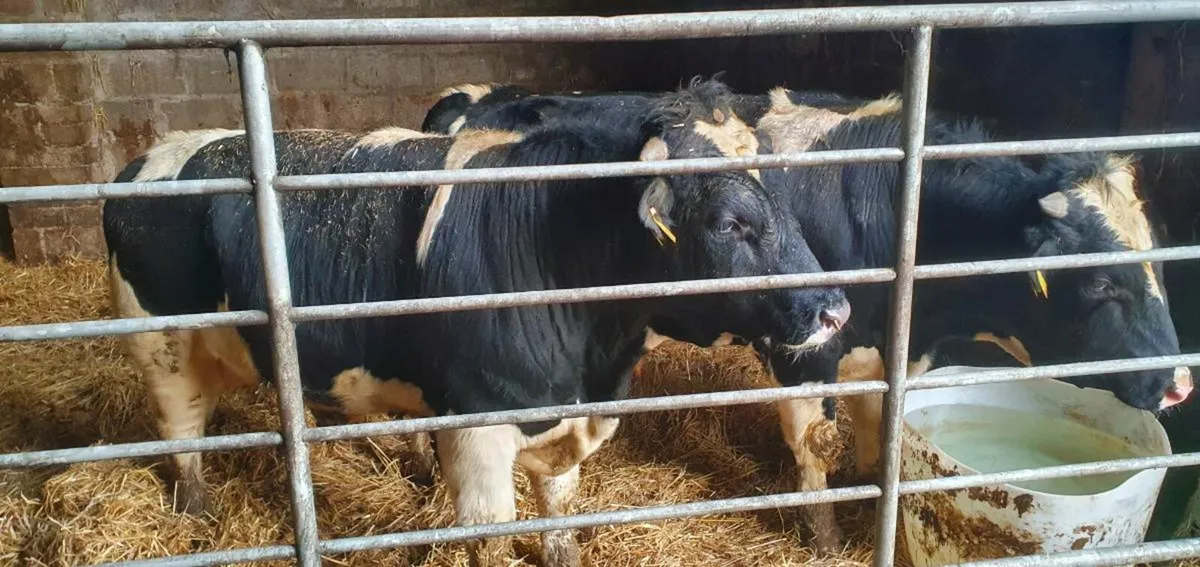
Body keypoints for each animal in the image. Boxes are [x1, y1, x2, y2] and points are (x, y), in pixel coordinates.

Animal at [102, 79, 851, 566]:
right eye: (730, 222)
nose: (835, 309)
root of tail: (149, 157)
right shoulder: (478, 427)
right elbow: (489, 535)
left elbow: (558, 517)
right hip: (160, 347)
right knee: (183, 436)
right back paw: (198, 518)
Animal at [425, 83, 1195, 553]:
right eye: (1102, 283)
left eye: (1159, 263)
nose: (1181, 384)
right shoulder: (805, 347)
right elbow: (816, 445)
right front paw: (824, 538)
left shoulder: (885, 351)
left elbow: (876, 427)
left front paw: (872, 497)